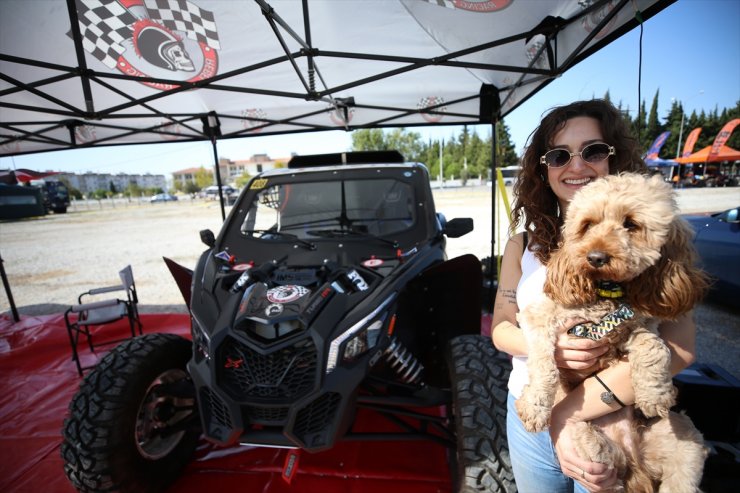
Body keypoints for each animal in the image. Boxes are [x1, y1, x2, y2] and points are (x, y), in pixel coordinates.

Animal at [516, 173, 708, 492]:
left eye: (631, 224)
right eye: (587, 224)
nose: (595, 257)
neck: (606, 293)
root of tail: (635, 463)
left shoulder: (639, 326)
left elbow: (655, 346)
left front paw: (655, 393)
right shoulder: (540, 318)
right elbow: (544, 365)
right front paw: (534, 406)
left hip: (685, 441)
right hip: (592, 457)